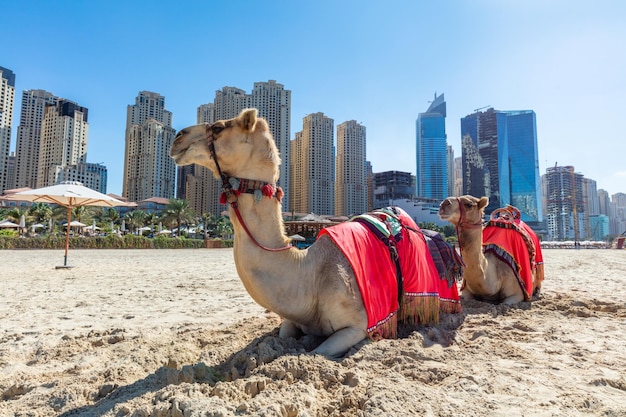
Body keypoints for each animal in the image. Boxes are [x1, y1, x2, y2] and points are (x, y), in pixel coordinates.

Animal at [168, 109, 456, 356]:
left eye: (218, 127)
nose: (177, 137)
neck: (307, 274)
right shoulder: (292, 320)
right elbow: (283, 336)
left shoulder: (358, 325)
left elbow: (318, 353)